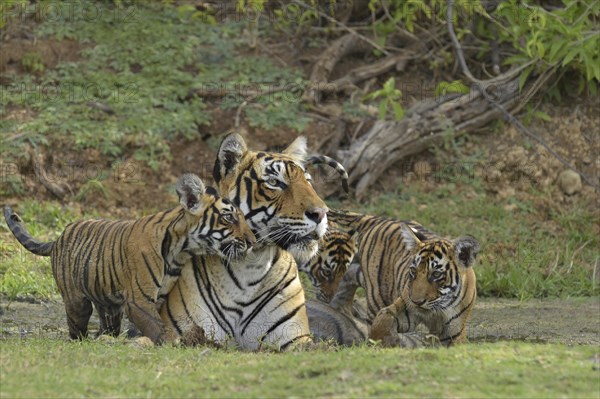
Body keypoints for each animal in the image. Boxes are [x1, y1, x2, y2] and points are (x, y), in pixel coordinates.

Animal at [4, 173, 253, 346]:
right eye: (229, 217)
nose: (251, 241)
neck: (181, 250)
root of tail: (57, 239)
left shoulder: (158, 296)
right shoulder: (138, 300)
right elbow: (157, 326)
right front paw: (171, 341)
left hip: (108, 305)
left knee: (107, 326)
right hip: (77, 302)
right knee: (76, 329)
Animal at [328, 209, 478, 346]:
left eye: (436, 274)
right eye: (413, 271)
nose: (416, 301)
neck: (437, 311)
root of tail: (376, 218)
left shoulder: (454, 331)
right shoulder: (401, 308)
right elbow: (383, 321)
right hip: (377, 295)